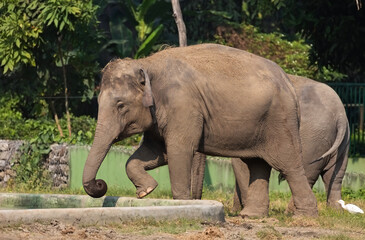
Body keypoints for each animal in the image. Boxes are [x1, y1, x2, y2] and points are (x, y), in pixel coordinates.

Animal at [82, 43, 316, 216]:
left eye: (120, 105)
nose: (101, 184)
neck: (147, 64)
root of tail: (288, 81)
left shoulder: (183, 107)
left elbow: (178, 152)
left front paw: (180, 205)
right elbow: (154, 153)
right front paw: (145, 191)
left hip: (280, 121)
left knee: (289, 164)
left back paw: (303, 216)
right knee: (258, 164)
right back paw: (251, 216)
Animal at [232, 75, 348, 218]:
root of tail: (340, 114)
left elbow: (241, 165)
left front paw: (242, 212)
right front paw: (236, 210)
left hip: (311, 141)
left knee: (306, 174)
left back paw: (291, 213)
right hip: (342, 144)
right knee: (334, 176)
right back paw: (336, 212)